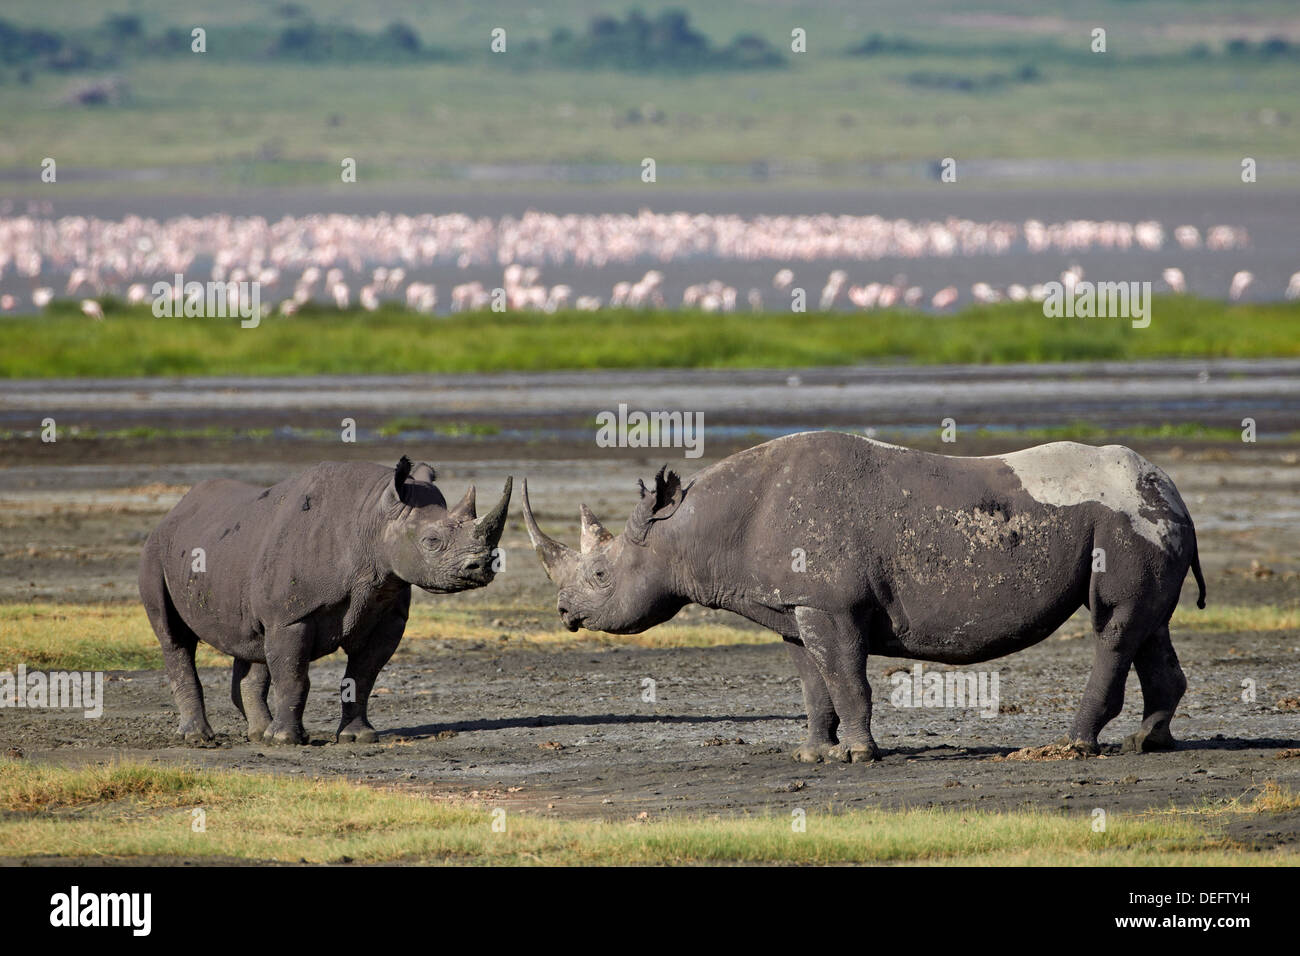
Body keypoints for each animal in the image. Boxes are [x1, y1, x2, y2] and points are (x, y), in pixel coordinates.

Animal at [139, 457, 511, 744]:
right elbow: (293, 675)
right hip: (156, 550)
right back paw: (199, 738)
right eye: (431, 541)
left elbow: (363, 675)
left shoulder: (387, 613)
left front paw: (358, 737)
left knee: (253, 641)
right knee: (174, 638)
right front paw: (286, 741)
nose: (482, 566)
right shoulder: (292, 617)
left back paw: (258, 734)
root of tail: (174, 511)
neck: (373, 521)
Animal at [522, 432, 1206, 762]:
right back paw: (1148, 743)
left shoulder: (831, 605)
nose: (566, 613)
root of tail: (1173, 491)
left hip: (1126, 524)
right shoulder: (795, 607)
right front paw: (812, 755)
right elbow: (813, 682)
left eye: (601, 575)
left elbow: (847, 677)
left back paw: (1076, 746)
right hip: (1147, 523)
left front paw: (857, 756)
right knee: (1147, 627)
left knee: (1114, 625)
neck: (692, 530)